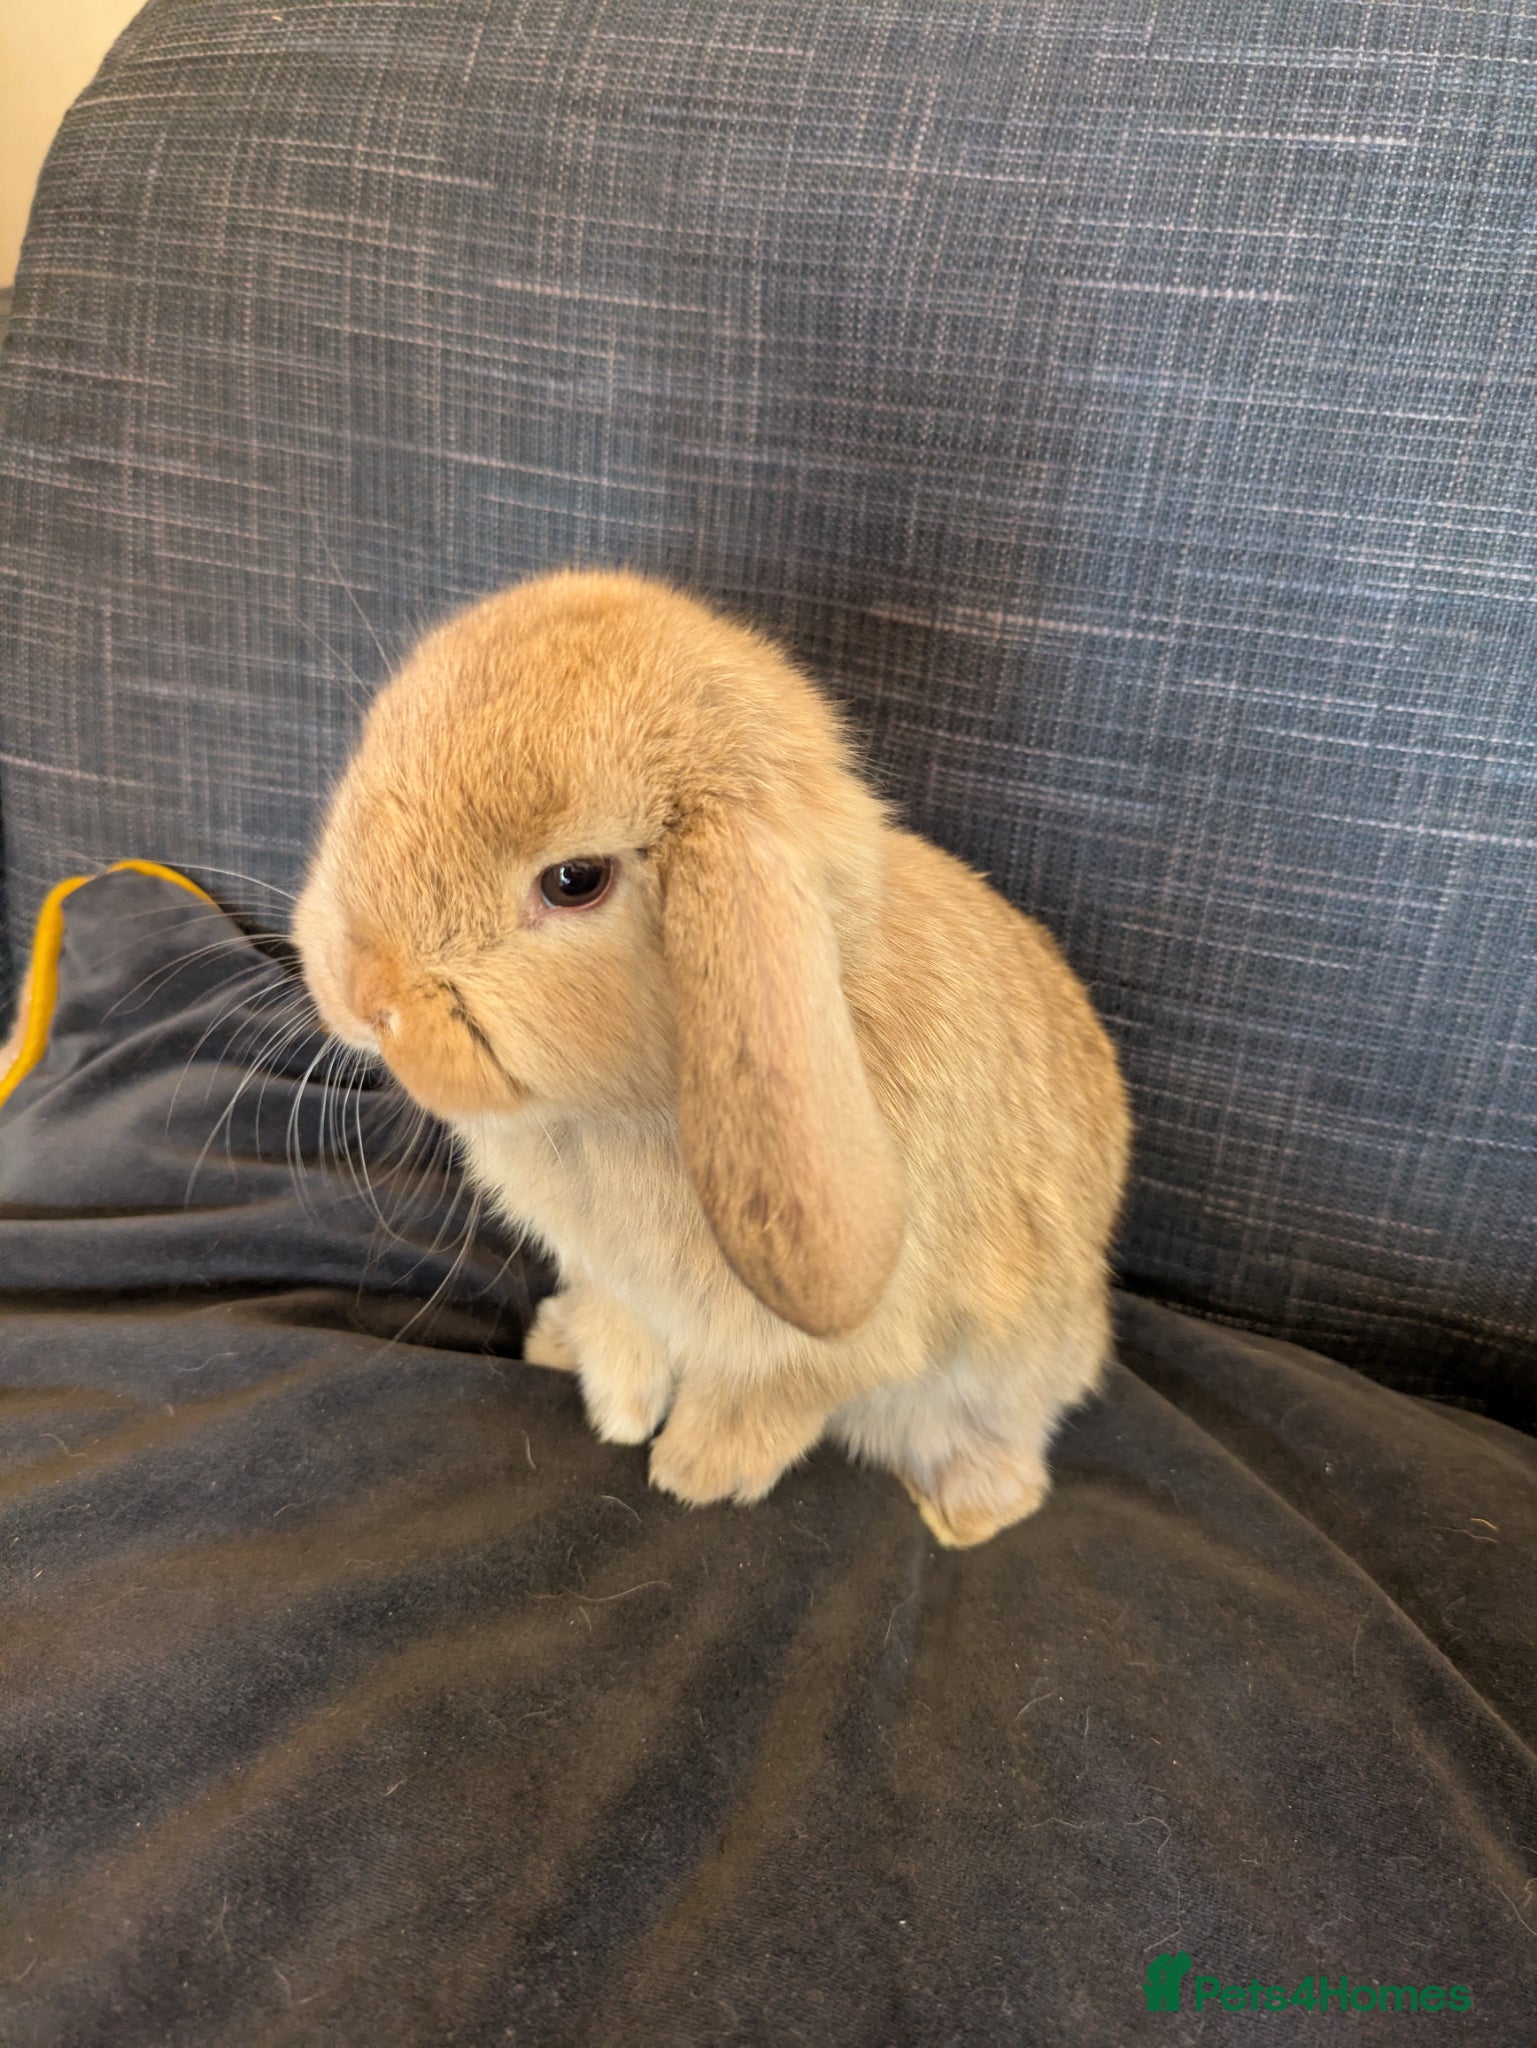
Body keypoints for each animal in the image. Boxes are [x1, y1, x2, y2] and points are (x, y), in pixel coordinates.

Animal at [293, 568, 1130, 1547]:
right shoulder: (610, 1276)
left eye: (574, 881)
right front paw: (616, 1408)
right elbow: (625, 1328)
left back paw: (965, 1512)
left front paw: (695, 1472)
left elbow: (768, 1396)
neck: (635, 1102)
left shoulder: (843, 1340)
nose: (361, 993)